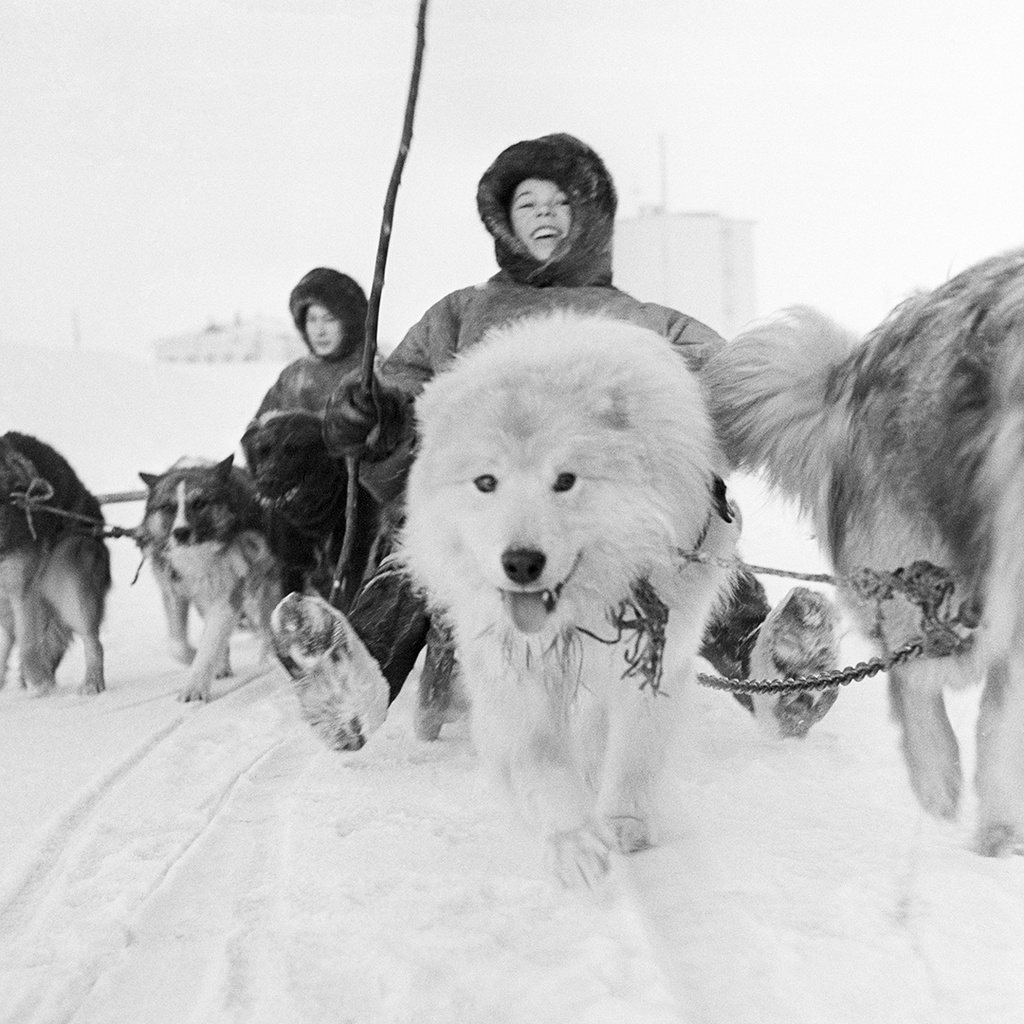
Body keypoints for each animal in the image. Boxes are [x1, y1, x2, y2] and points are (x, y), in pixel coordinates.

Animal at [395, 311, 741, 888]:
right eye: (486, 482)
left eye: (565, 481)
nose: (521, 563)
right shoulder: (514, 671)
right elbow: (540, 766)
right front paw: (574, 843)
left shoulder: (655, 662)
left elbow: (633, 755)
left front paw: (622, 823)